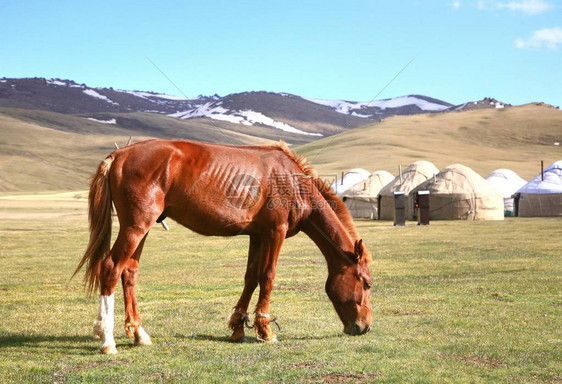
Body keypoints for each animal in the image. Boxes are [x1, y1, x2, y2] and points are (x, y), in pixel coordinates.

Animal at [74, 139, 372, 354]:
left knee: (129, 271)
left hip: (141, 229)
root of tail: (120, 154)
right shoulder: (275, 233)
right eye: (367, 284)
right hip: (136, 227)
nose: (365, 327)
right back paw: (107, 341)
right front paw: (265, 331)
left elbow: (251, 277)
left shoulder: (258, 236)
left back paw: (138, 334)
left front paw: (238, 326)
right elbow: (268, 277)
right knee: (111, 268)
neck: (291, 181)